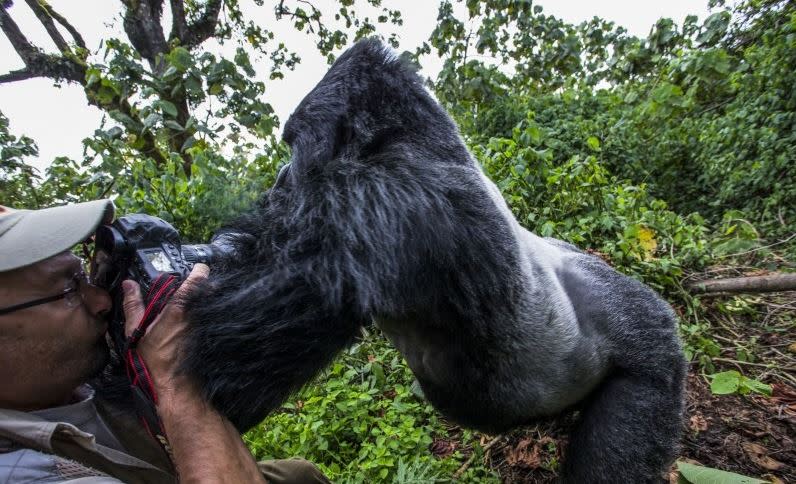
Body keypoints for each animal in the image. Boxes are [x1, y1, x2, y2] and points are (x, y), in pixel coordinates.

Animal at [183, 38, 688, 484]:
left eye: (293, 144)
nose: (279, 181)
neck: (412, 141)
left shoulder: (389, 201)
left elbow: (224, 365)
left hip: (650, 350)